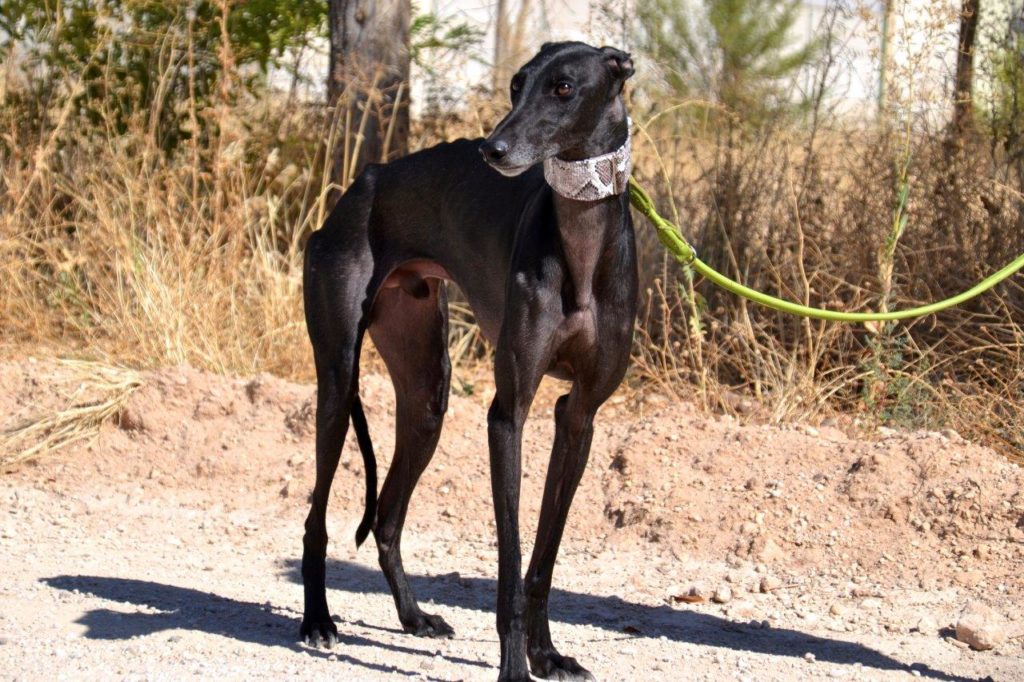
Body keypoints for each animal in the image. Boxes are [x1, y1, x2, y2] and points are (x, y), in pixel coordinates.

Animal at [303, 41, 634, 675]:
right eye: (516, 84)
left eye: (563, 87)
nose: (492, 150)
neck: (581, 244)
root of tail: (364, 180)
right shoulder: (508, 414)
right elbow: (511, 558)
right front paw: (515, 664)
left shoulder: (579, 416)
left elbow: (543, 559)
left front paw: (546, 654)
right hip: (337, 379)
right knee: (317, 518)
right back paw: (318, 621)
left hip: (427, 393)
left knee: (387, 518)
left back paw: (413, 617)